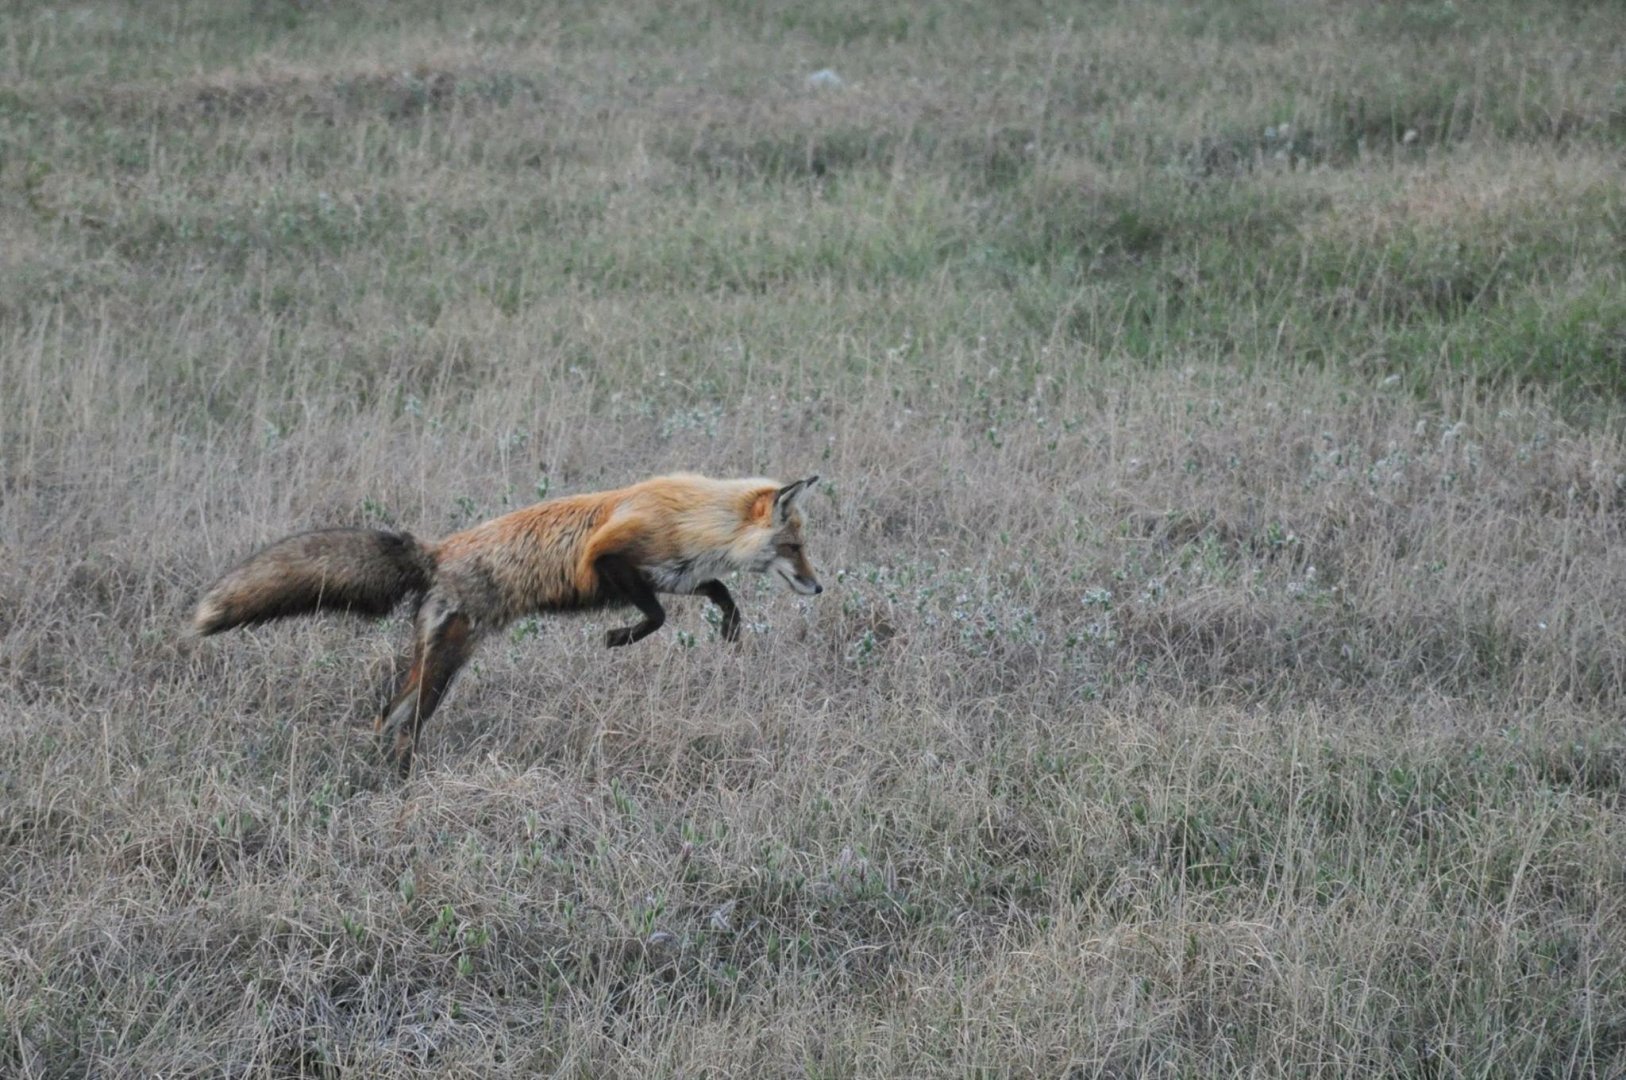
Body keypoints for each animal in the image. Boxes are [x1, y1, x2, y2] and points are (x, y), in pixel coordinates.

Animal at [193, 473, 823, 775]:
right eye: (794, 548)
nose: (818, 588)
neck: (695, 519)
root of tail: (437, 552)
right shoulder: (611, 560)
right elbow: (658, 614)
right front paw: (619, 637)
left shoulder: (668, 571)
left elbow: (715, 589)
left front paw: (731, 625)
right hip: (443, 665)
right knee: (402, 725)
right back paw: (401, 781)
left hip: (434, 660)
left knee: (384, 718)